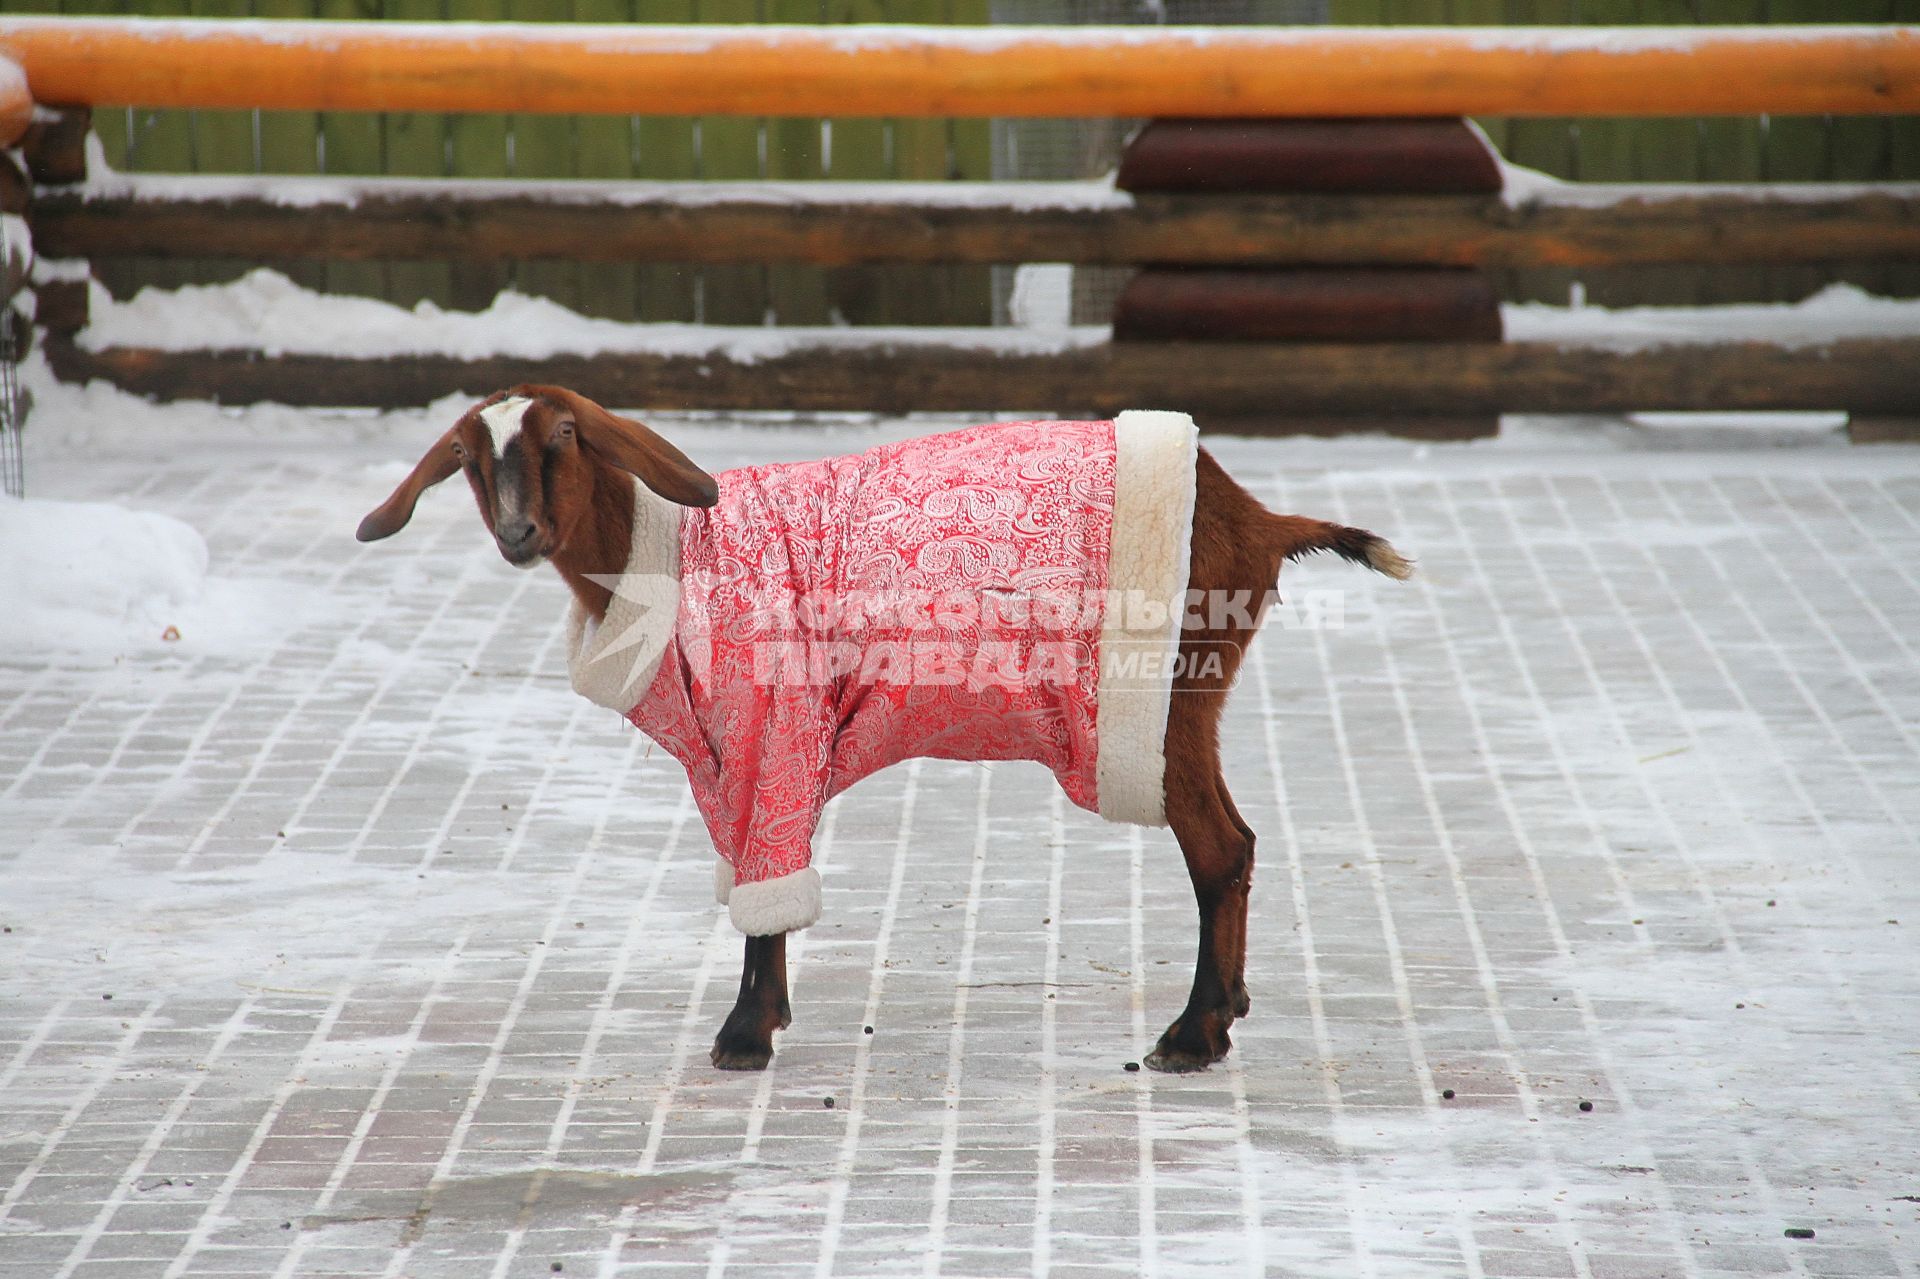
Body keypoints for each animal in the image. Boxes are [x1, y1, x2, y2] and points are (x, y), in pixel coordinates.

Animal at [360, 384, 1413, 1067]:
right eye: (468, 460)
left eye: (568, 437)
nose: (519, 534)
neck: (676, 558)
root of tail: (1257, 522)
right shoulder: (726, 759)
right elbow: (752, 878)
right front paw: (767, 1014)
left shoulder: (774, 725)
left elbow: (768, 879)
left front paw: (744, 1035)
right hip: (1188, 709)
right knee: (1234, 838)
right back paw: (1225, 1009)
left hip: (1159, 704)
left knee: (1219, 848)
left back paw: (1192, 1036)